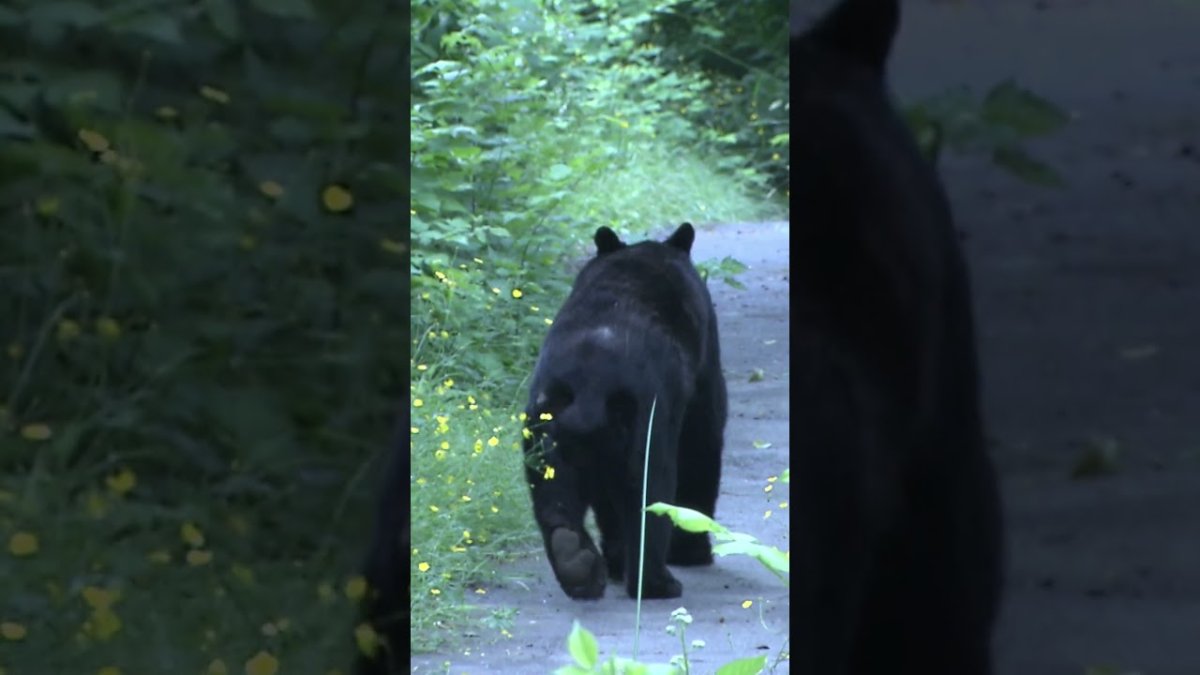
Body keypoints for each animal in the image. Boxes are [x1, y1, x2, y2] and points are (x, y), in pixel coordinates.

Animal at [522, 222, 727, 600]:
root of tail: (590, 386)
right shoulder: (702, 370)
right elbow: (701, 448)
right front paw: (693, 552)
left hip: (544, 428)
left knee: (554, 492)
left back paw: (576, 563)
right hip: (645, 426)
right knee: (650, 492)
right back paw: (658, 582)